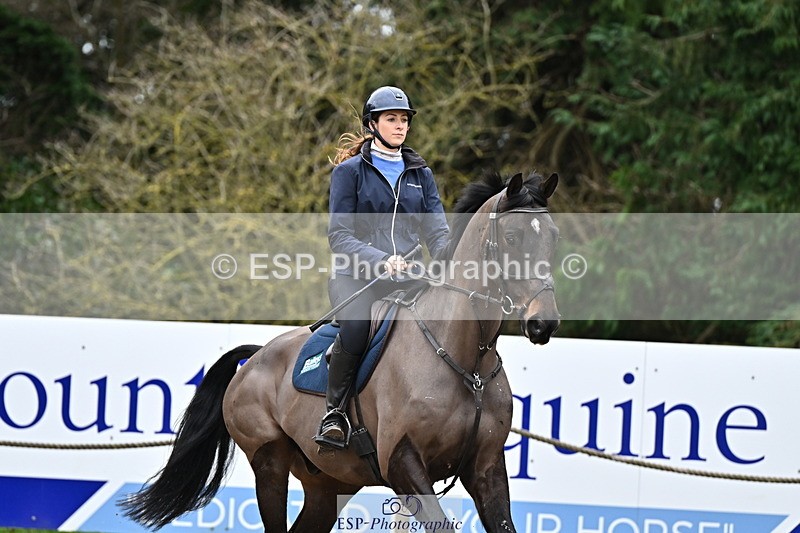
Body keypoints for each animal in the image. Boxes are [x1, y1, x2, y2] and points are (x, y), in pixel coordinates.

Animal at [121, 170, 560, 533]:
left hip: (330, 482)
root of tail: (256, 357)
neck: (466, 362)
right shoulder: (403, 464)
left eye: (552, 234)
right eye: (512, 238)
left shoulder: (486, 467)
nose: (545, 323)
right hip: (269, 463)